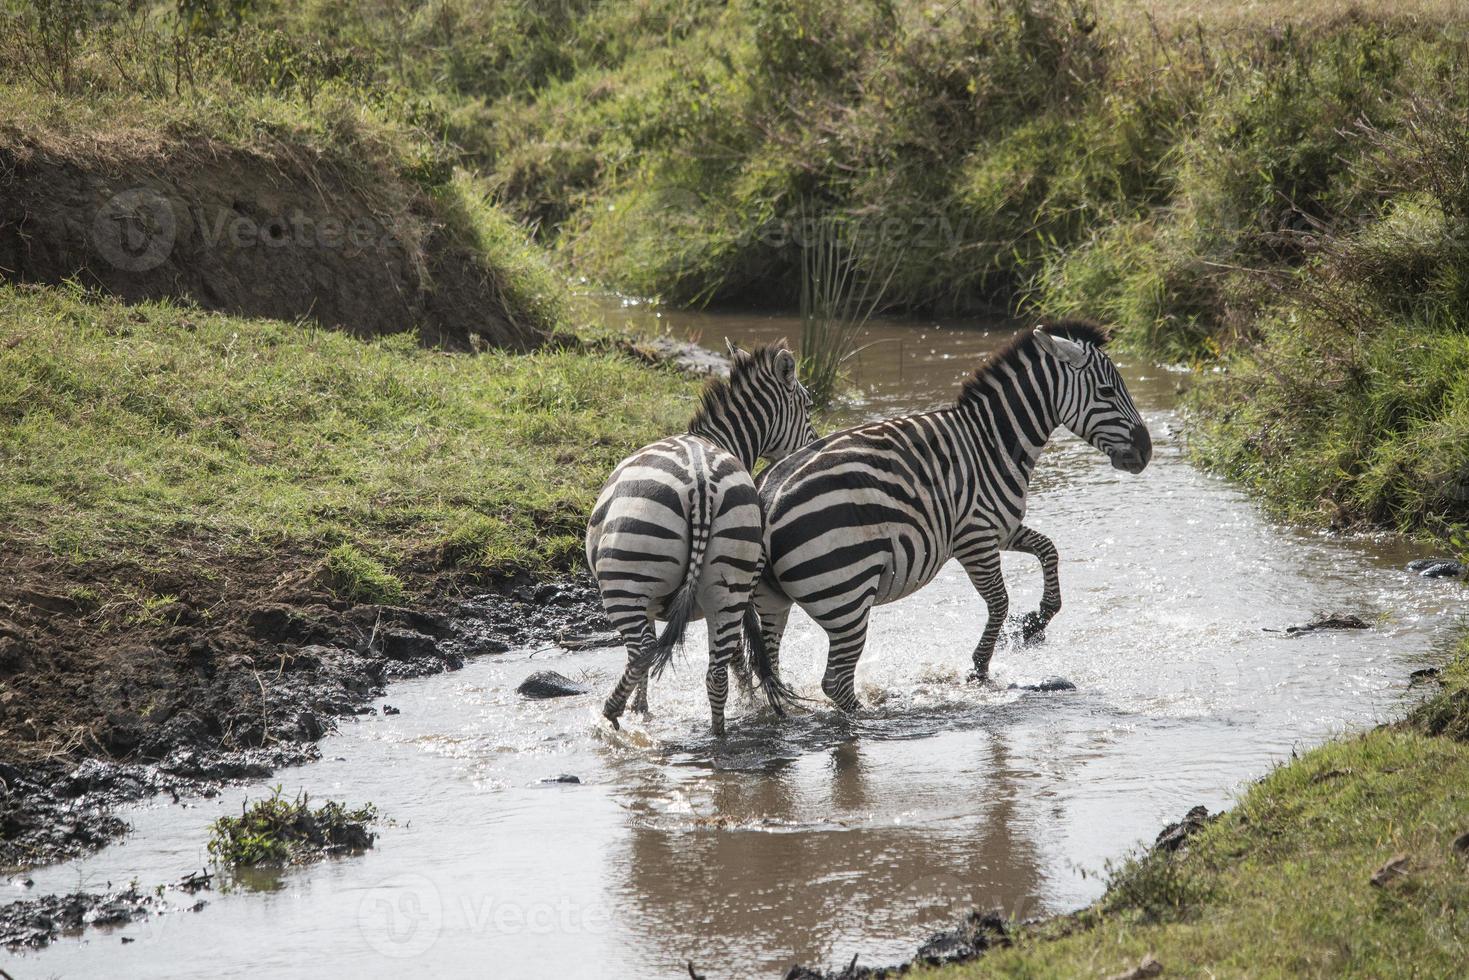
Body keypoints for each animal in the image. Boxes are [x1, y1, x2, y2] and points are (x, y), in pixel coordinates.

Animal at [581, 340, 816, 731]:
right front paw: (753, 700)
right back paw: (719, 736)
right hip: (728, 582)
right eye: (810, 407)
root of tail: (701, 484)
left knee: (642, 652)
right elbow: (741, 651)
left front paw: (640, 709)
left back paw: (612, 715)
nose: (813, 448)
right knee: (714, 674)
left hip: (626, 582)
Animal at [752, 321, 1151, 714]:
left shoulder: (1001, 527)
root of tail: (766, 502)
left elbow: (1049, 550)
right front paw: (980, 666)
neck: (992, 442)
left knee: (772, 671)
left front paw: (1032, 625)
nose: (1146, 453)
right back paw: (876, 715)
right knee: (835, 682)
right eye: (1106, 390)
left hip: (773, 602)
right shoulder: (976, 537)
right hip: (845, 596)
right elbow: (1000, 602)